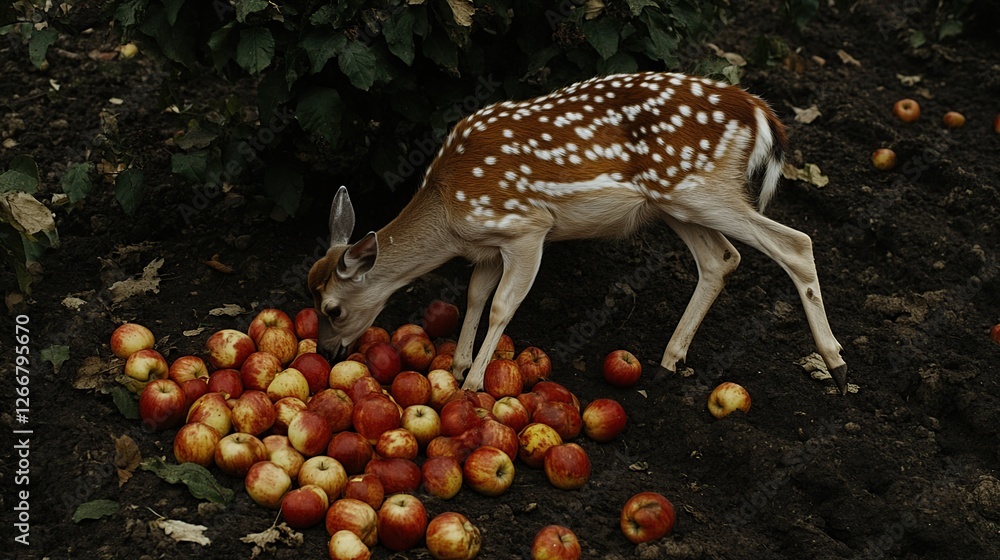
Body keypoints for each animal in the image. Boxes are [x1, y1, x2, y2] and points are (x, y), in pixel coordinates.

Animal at [307, 72, 848, 395]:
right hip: (673, 201)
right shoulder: (487, 247)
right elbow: (476, 296)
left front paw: (473, 383)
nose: (329, 352)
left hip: (698, 186)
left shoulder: (526, 227)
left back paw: (837, 367)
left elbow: (502, 305)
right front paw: (458, 366)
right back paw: (668, 361)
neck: (450, 209)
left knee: (796, 243)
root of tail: (759, 110)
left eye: (333, 308)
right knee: (721, 259)